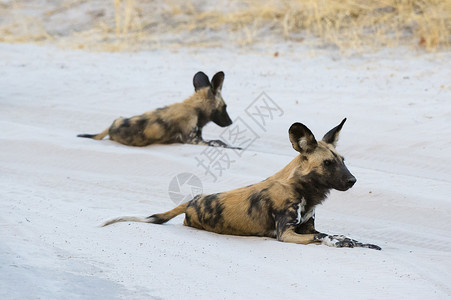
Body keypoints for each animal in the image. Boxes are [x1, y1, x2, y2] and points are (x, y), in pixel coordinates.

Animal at [77, 71, 240, 149]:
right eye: (225, 107)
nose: (231, 122)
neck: (194, 108)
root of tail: (111, 127)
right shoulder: (193, 141)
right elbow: (218, 142)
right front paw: (237, 147)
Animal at [102, 119, 382, 251]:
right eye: (327, 163)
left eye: (343, 161)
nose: (352, 181)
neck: (303, 189)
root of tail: (192, 200)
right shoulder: (287, 234)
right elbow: (325, 237)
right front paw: (342, 242)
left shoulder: (306, 227)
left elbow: (337, 235)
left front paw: (362, 243)